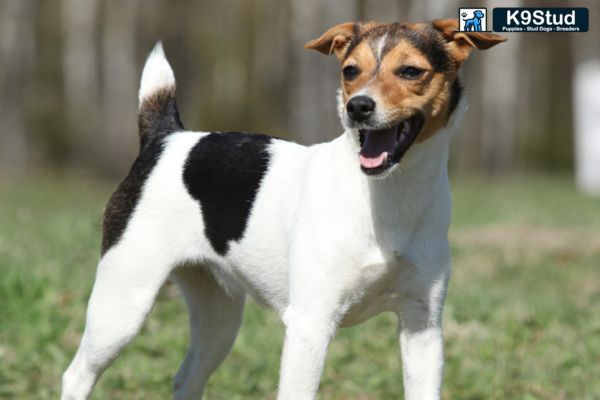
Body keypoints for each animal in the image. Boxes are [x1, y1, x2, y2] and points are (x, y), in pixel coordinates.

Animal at [61, 18, 504, 400]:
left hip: (218, 320)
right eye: (349, 71)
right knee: (76, 375)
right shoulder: (310, 326)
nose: (358, 107)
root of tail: (166, 138)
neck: (387, 193)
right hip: (121, 307)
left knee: (185, 379)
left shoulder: (422, 328)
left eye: (411, 71)